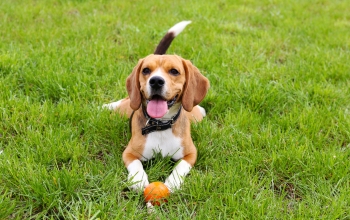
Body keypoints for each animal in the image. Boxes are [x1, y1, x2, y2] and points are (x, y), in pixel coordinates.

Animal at [102, 21, 209, 192]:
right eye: (146, 70)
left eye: (174, 71)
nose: (156, 81)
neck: (161, 125)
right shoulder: (129, 152)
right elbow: (135, 164)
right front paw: (138, 179)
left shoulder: (191, 154)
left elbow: (181, 167)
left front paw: (173, 182)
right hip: (126, 107)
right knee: (123, 101)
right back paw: (106, 106)